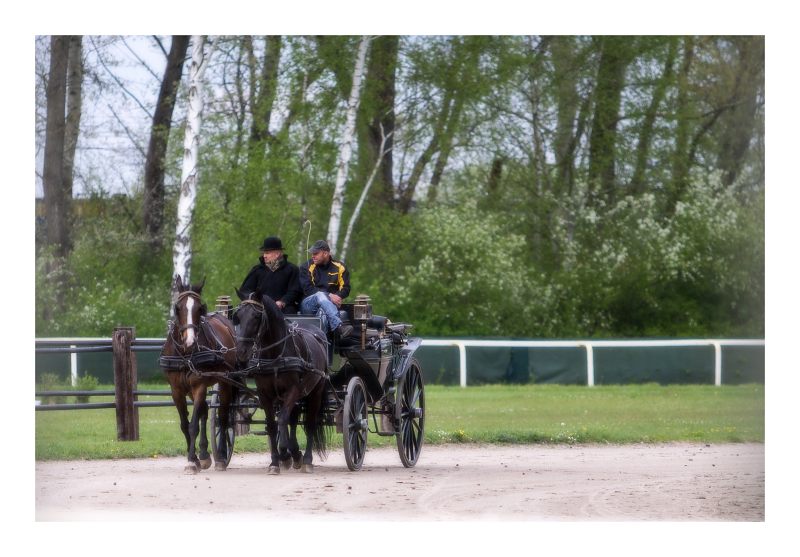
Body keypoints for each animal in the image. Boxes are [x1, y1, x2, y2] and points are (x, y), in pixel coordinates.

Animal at [161, 276, 236, 472]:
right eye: (177, 308)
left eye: (200, 308)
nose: (190, 341)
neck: (185, 355)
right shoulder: (177, 390)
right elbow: (184, 425)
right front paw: (194, 458)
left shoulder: (199, 385)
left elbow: (193, 425)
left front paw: (190, 461)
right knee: (204, 411)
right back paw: (203, 454)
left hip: (226, 382)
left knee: (223, 417)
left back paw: (221, 457)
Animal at [233, 286, 330, 474]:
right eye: (238, 316)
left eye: (256, 316)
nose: (241, 352)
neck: (275, 355)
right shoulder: (265, 394)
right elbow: (272, 425)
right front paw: (275, 462)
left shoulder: (293, 390)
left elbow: (283, 419)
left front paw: (285, 453)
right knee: (293, 420)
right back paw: (295, 454)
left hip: (315, 392)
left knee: (310, 423)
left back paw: (306, 460)